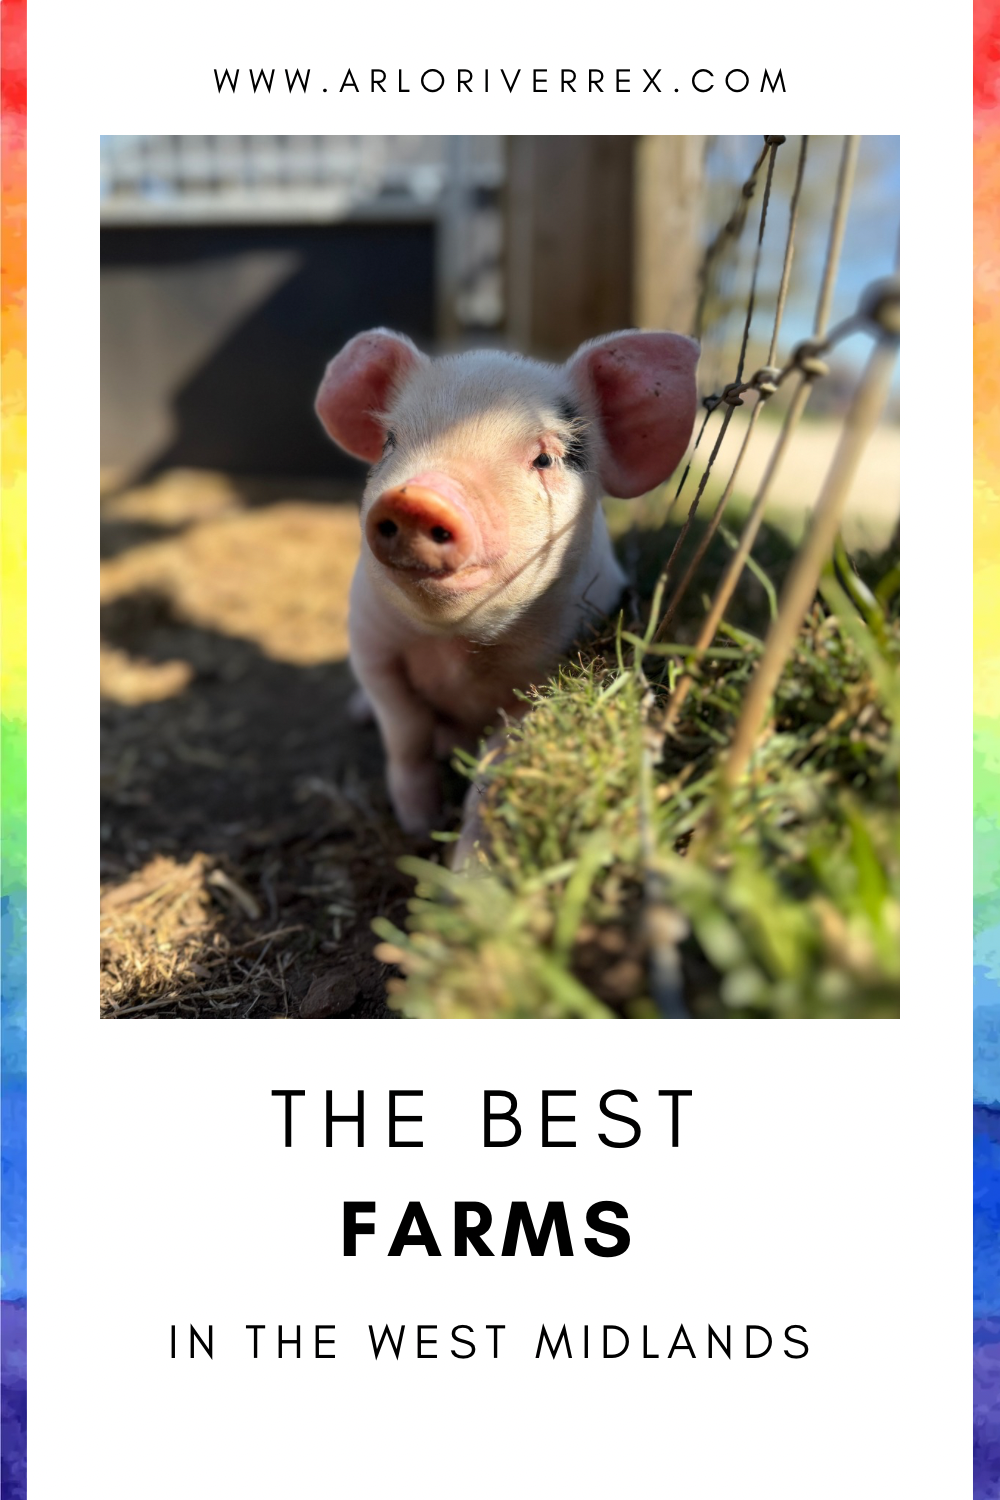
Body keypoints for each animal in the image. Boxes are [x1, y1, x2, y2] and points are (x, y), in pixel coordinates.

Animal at [315, 328, 699, 833]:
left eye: (545, 459)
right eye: (390, 443)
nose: (418, 498)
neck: (460, 647)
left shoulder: (552, 672)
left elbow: (495, 760)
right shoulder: (370, 642)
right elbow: (406, 733)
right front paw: (418, 824)